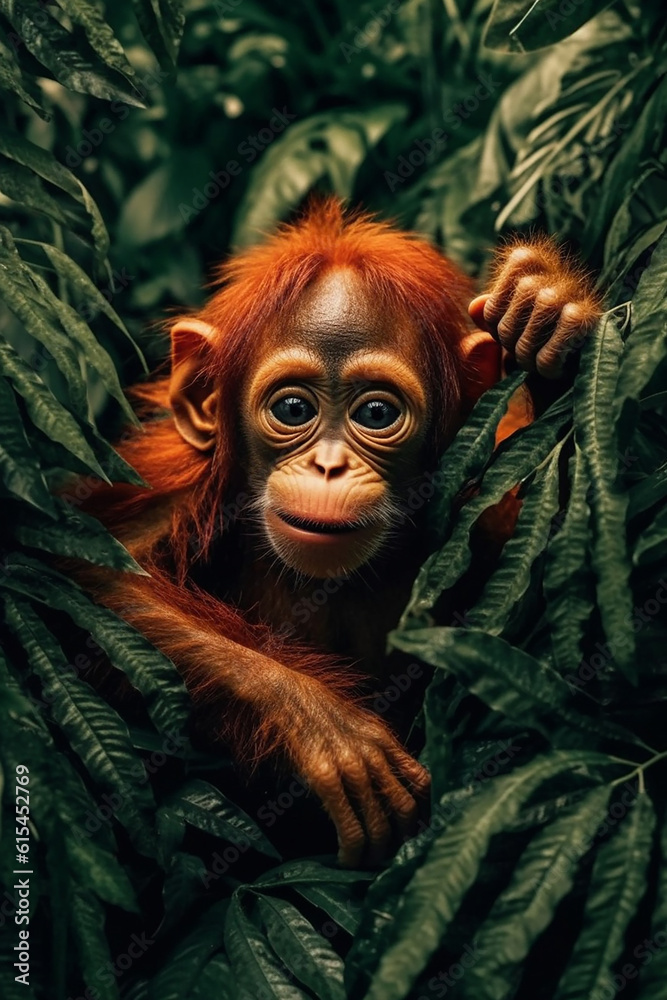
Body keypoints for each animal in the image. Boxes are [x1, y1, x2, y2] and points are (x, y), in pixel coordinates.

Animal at [70, 199, 599, 867]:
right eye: (293, 409)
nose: (329, 466)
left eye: (376, 413)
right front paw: (323, 725)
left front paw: (548, 311)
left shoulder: (475, 525)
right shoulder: (173, 505)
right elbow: (81, 574)